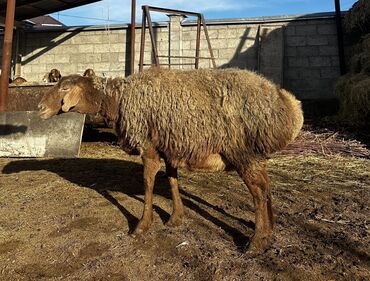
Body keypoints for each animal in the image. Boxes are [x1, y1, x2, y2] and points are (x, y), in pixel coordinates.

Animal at [38, 67, 304, 249]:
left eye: (64, 88)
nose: (39, 107)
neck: (118, 100)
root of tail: (290, 105)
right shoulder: (170, 149)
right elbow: (172, 180)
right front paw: (176, 218)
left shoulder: (149, 148)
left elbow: (148, 183)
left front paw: (141, 226)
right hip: (254, 156)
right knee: (266, 188)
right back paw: (268, 230)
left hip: (244, 153)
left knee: (259, 192)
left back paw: (257, 241)